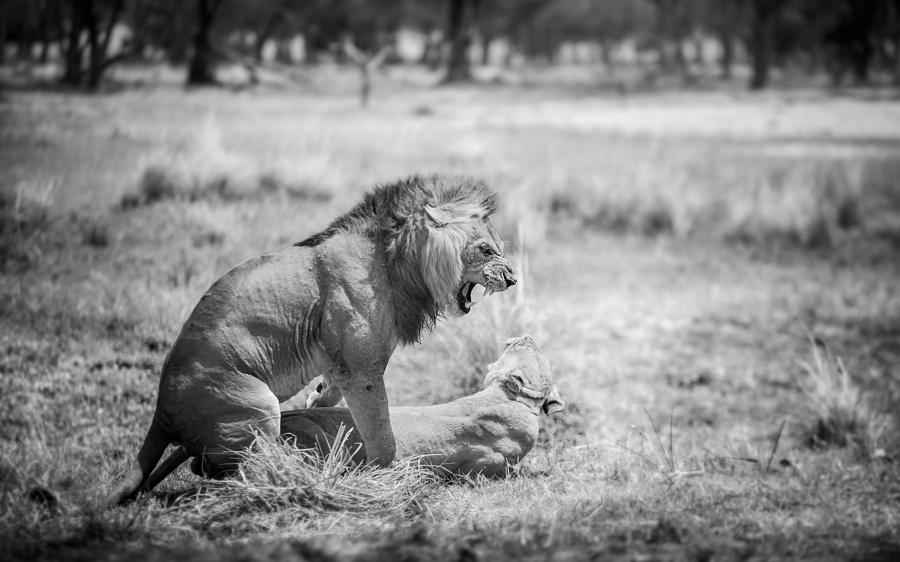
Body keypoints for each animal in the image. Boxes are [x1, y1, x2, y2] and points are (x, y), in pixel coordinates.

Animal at [104, 173, 512, 500]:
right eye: (485, 249)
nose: (513, 279)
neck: (394, 260)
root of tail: (163, 411)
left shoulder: (341, 360)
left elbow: (331, 393)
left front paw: (316, 402)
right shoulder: (362, 370)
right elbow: (381, 432)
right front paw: (387, 478)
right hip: (255, 405)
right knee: (243, 470)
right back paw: (307, 474)